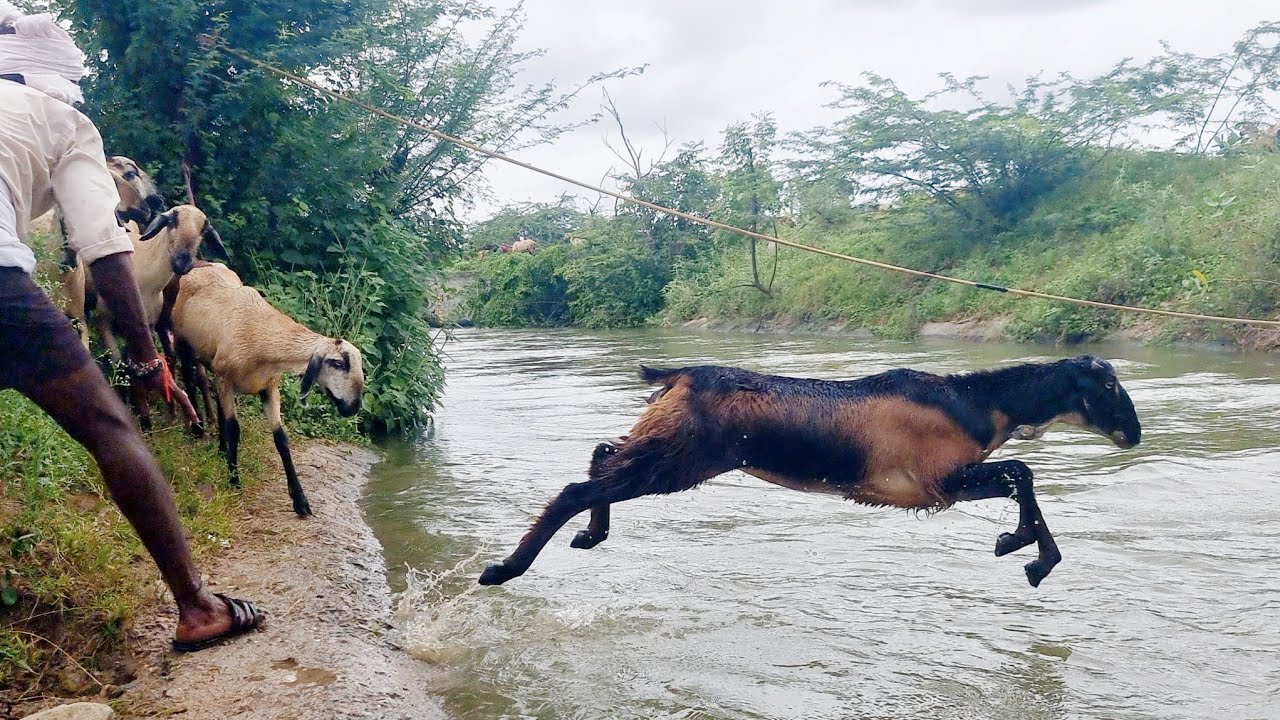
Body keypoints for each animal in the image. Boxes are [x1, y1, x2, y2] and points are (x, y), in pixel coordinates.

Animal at [169, 262, 365, 516]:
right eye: (338, 363)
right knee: (189, 379)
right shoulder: (227, 380)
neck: (261, 337)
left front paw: (300, 501)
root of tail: (200, 266)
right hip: (183, 343)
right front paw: (234, 481)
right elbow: (234, 429)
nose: (353, 407)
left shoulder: (269, 388)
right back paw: (197, 428)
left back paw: (222, 449)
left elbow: (281, 438)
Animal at [478, 356, 1142, 589]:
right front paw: (1030, 552)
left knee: (600, 455)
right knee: (577, 486)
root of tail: (679, 375)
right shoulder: (936, 483)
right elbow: (1021, 473)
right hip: (682, 459)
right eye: (1111, 388)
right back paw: (506, 568)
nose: (1134, 434)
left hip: (665, 448)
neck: (978, 403)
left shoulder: (939, 487)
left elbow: (1020, 476)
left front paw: (1017, 542)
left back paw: (592, 533)